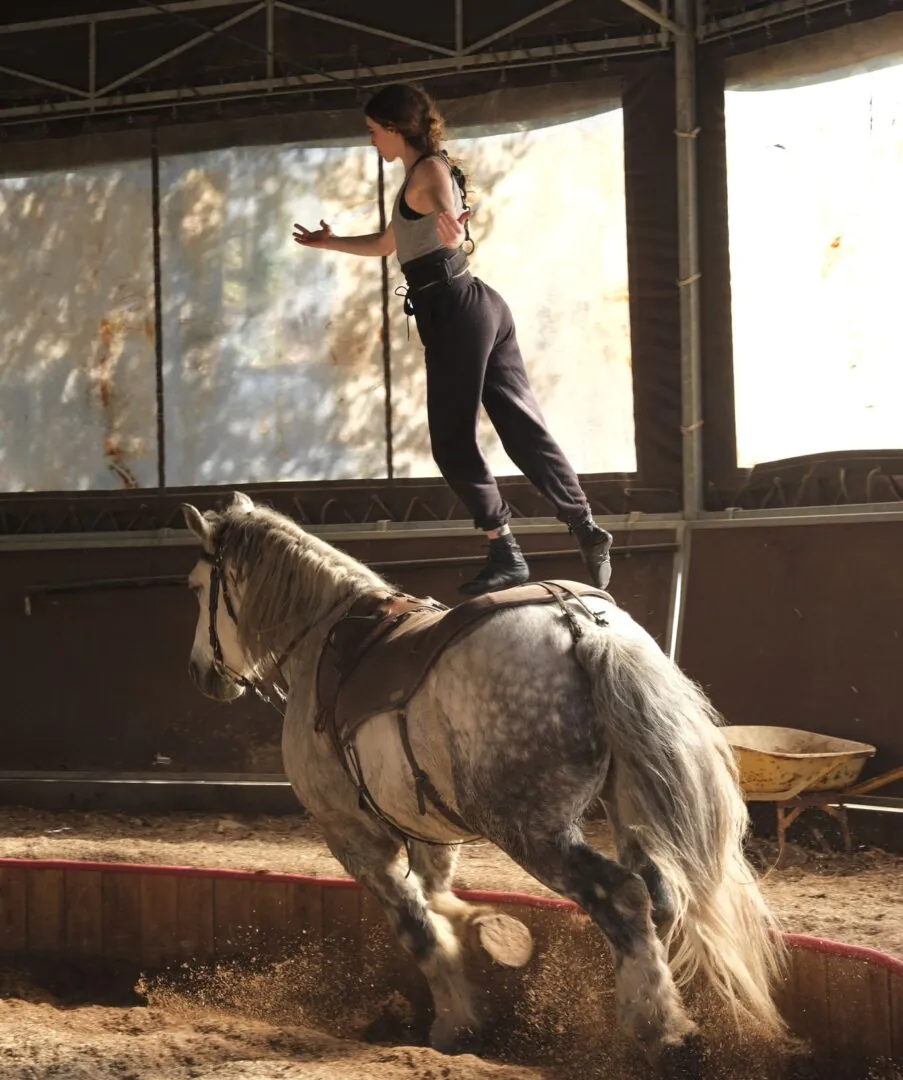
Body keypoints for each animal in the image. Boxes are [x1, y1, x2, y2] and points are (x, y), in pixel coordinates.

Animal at [178, 494, 782, 1067]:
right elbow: (438, 894)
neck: (322, 639)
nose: (202, 673)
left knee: (622, 896)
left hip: (530, 830)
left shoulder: (354, 836)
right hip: (628, 807)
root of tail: (580, 625)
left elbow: (417, 926)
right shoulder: (427, 830)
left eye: (197, 586)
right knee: (661, 895)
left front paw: (457, 1021)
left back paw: (663, 1031)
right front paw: (488, 932)